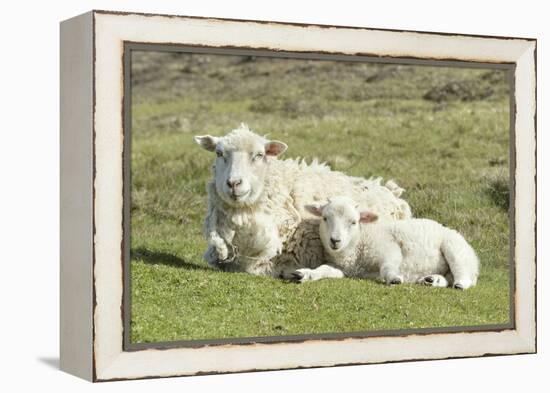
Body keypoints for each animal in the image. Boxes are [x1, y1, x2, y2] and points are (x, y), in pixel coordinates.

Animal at [304, 196, 480, 288]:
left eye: (353, 222)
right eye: (325, 218)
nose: (335, 240)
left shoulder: (388, 246)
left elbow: (388, 266)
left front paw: (394, 278)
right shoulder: (343, 269)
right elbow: (324, 269)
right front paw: (307, 274)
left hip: (455, 248)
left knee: (462, 272)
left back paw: (460, 284)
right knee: (448, 277)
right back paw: (432, 280)